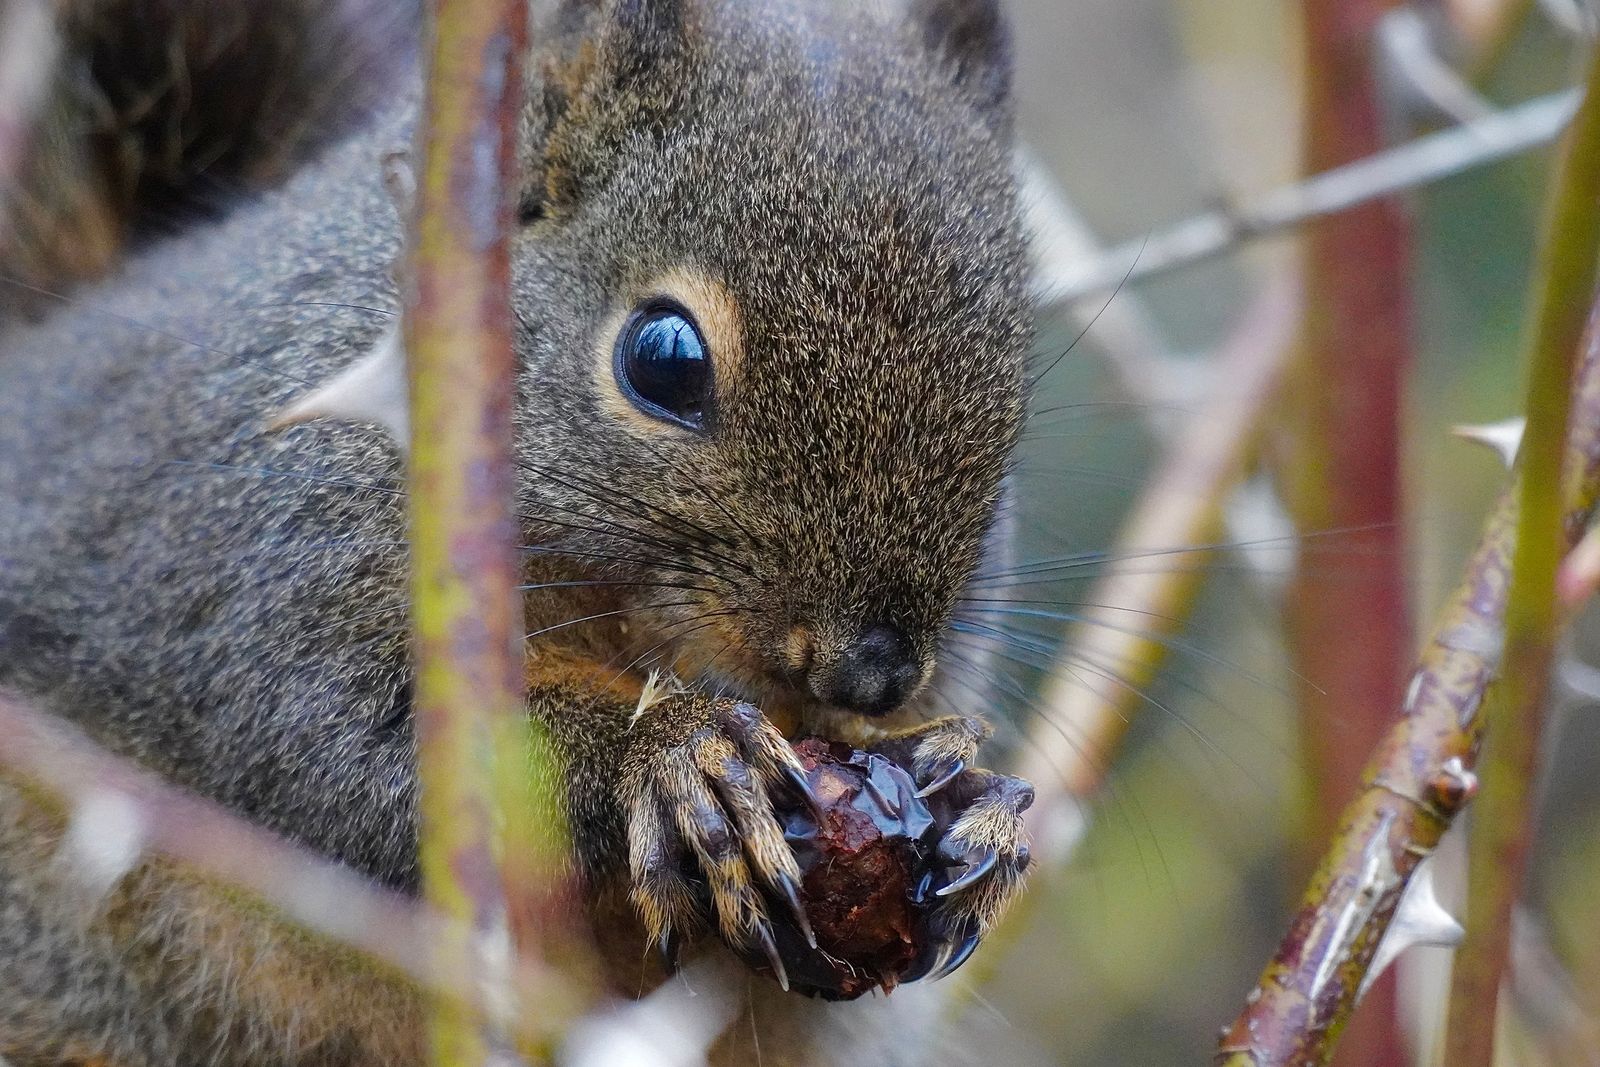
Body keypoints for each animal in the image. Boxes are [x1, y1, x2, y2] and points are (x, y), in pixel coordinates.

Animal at [0, 0, 1036, 1063]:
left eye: (1016, 407)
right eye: (662, 359)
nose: (870, 672)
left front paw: (977, 804)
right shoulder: (261, 553)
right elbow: (356, 738)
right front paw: (674, 754)